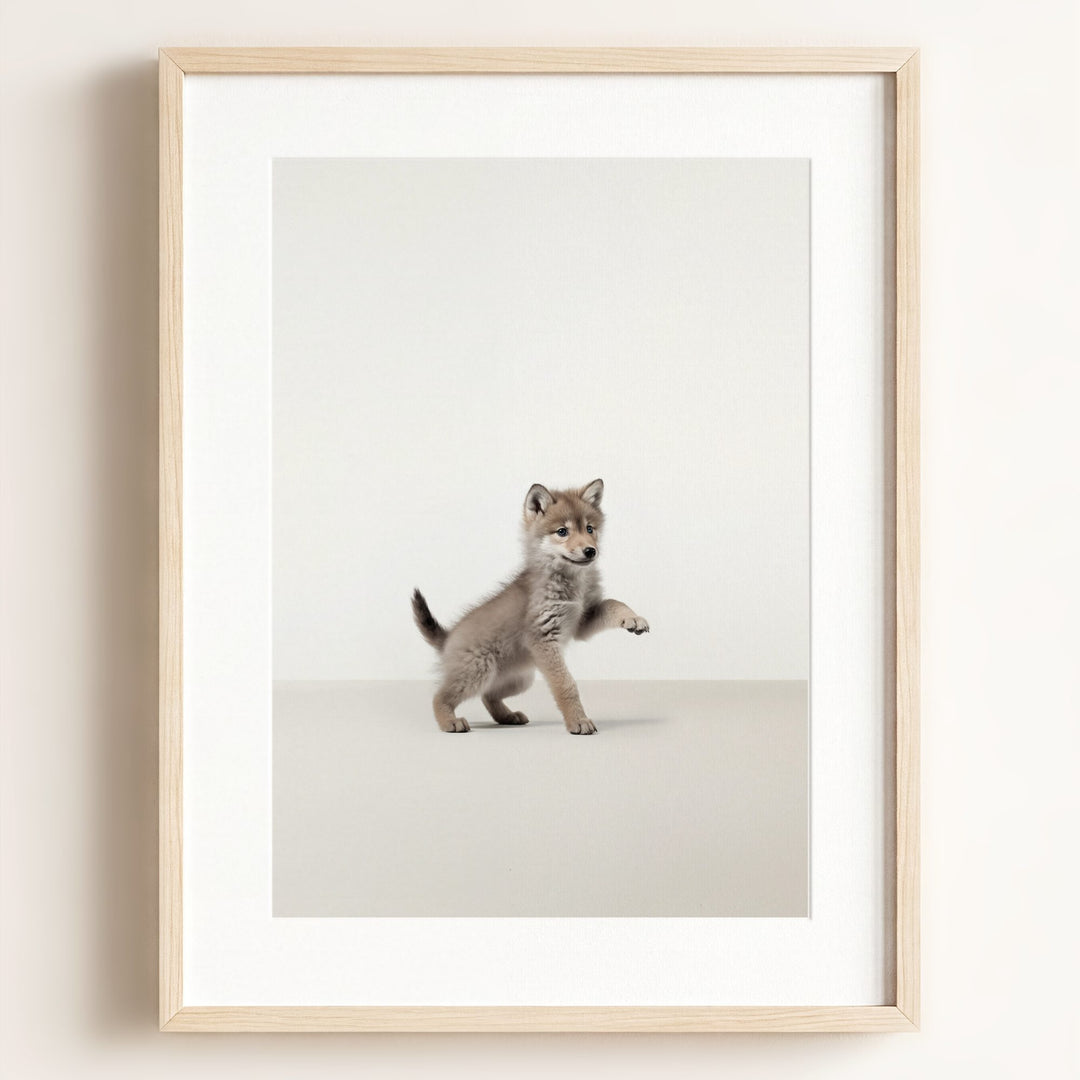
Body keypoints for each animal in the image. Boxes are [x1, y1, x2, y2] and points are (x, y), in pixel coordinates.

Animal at [411, 479, 649, 735]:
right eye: (562, 532)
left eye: (589, 529)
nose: (590, 550)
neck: (571, 582)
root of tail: (447, 637)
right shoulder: (544, 639)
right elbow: (566, 685)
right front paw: (578, 720)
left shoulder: (582, 621)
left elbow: (614, 603)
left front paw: (633, 618)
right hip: (478, 672)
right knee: (440, 696)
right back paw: (449, 722)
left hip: (519, 680)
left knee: (488, 696)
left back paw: (507, 716)